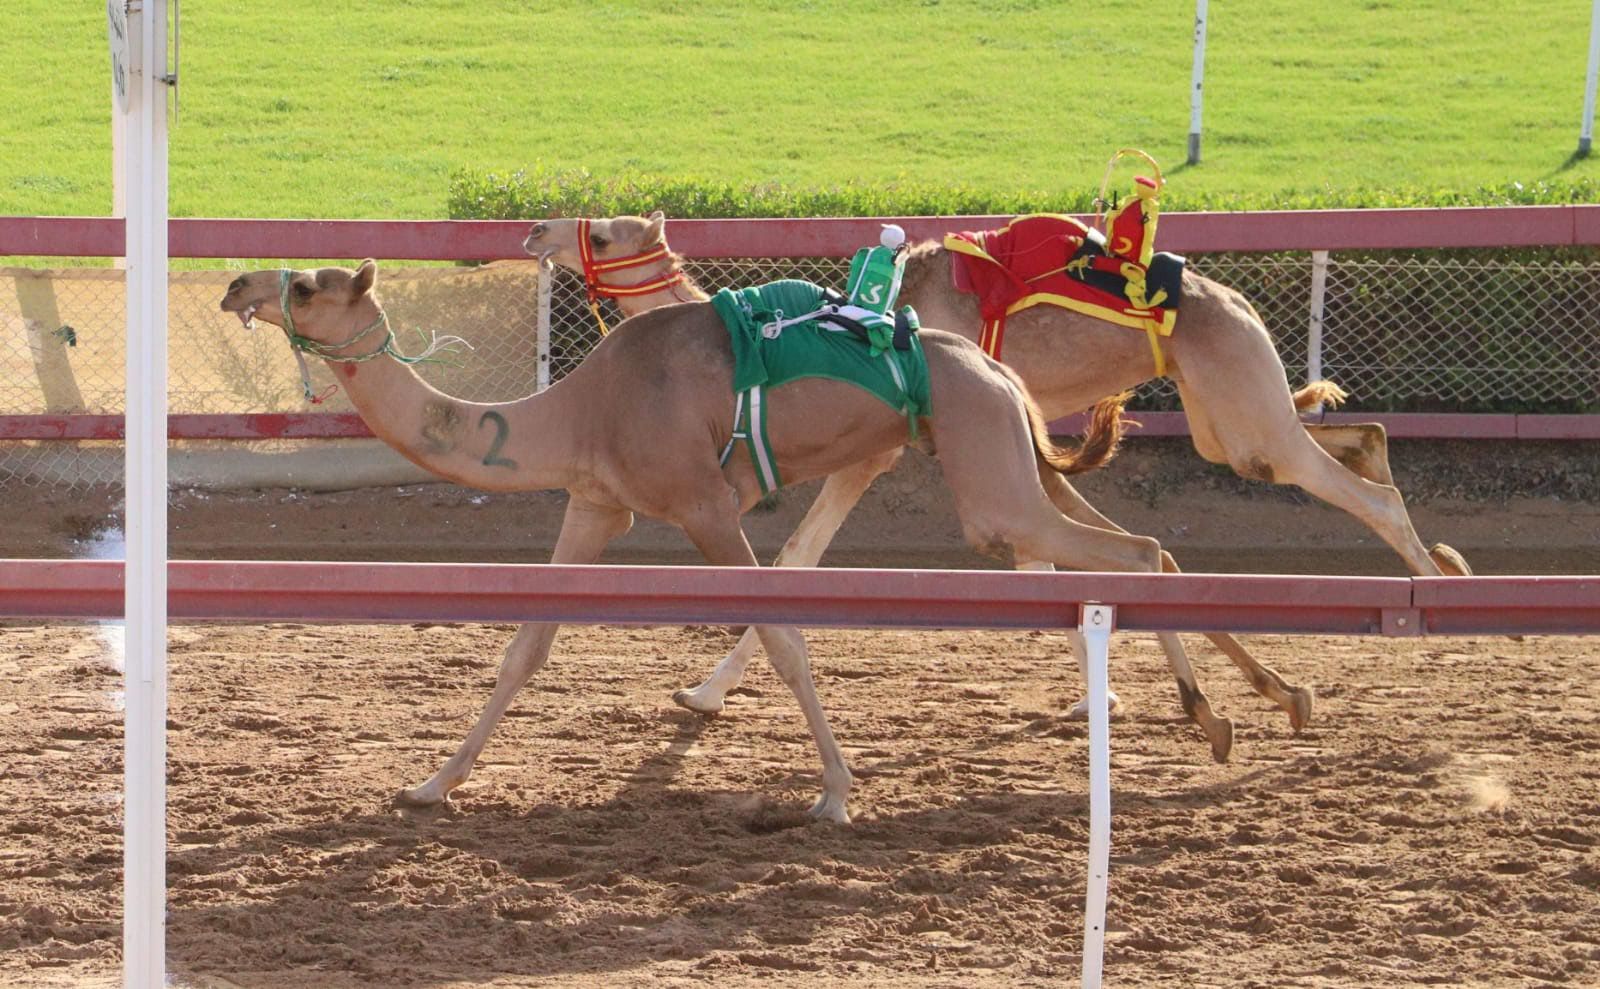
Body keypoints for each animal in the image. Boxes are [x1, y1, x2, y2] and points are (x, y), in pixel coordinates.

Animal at [219, 257, 1158, 819]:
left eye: (307, 287)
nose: (235, 286)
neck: (580, 409)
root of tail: (995, 368)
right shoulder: (596, 504)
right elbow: (526, 646)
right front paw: (431, 783)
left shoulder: (706, 506)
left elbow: (784, 636)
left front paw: (835, 791)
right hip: (998, 451)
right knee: (1135, 547)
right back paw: (1185, 709)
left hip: (987, 468)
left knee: (1130, 553)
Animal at [528, 208, 1472, 745]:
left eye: (603, 231)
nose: (535, 230)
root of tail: (1234, 299)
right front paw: (701, 691)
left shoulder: (878, 450)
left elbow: (798, 556)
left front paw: (702, 690)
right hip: (1225, 416)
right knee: (1342, 439)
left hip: (1239, 403)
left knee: (1357, 490)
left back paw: (1435, 598)